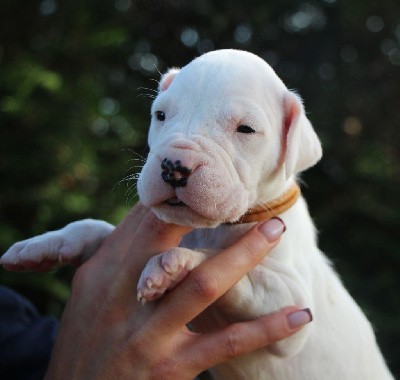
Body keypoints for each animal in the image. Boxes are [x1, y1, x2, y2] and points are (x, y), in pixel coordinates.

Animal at [0, 50, 394, 380]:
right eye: (160, 115)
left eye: (246, 129)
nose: (174, 166)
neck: (212, 228)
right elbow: (96, 228)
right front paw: (42, 245)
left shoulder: (293, 308)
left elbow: (233, 269)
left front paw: (172, 264)